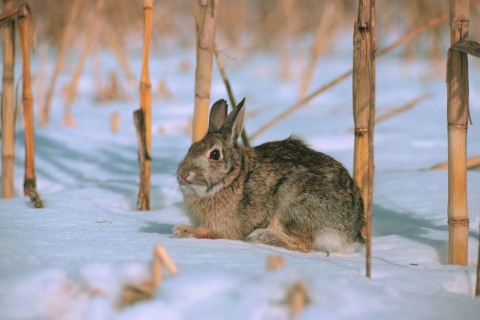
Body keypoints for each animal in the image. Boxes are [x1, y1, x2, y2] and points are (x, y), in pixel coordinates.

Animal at [172, 99, 364, 254]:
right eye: (190, 148)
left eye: (214, 154)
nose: (183, 176)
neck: (232, 177)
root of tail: (350, 232)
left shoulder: (224, 226)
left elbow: (211, 233)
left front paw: (182, 231)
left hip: (294, 204)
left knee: (304, 245)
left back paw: (261, 236)